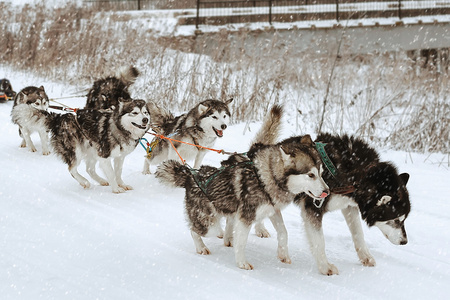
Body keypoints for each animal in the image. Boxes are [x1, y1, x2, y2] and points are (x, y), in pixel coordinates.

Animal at [156, 106, 328, 270]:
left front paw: (283, 254)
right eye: (310, 175)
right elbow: (241, 242)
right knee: (195, 230)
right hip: (208, 223)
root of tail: (191, 176)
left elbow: (283, 232)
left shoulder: (272, 210)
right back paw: (201, 247)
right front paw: (241, 263)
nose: (327, 192)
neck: (264, 178)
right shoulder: (246, 217)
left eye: (321, 173)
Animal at [296, 135, 412, 276]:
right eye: (395, 220)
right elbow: (319, 241)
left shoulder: (349, 207)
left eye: (404, 220)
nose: (404, 242)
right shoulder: (313, 207)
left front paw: (366, 256)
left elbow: (358, 233)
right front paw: (325, 266)